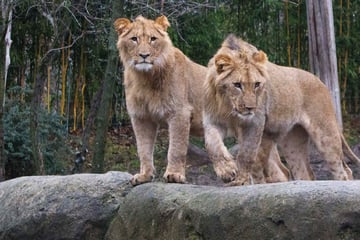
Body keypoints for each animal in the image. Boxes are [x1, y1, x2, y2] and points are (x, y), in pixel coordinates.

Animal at [205, 33, 360, 185]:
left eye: (257, 84)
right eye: (237, 84)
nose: (250, 108)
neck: (227, 105)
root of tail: (321, 82)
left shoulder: (255, 122)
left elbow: (247, 154)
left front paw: (242, 180)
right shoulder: (213, 120)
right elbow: (212, 144)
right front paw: (226, 171)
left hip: (325, 135)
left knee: (343, 171)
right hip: (292, 141)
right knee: (303, 173)